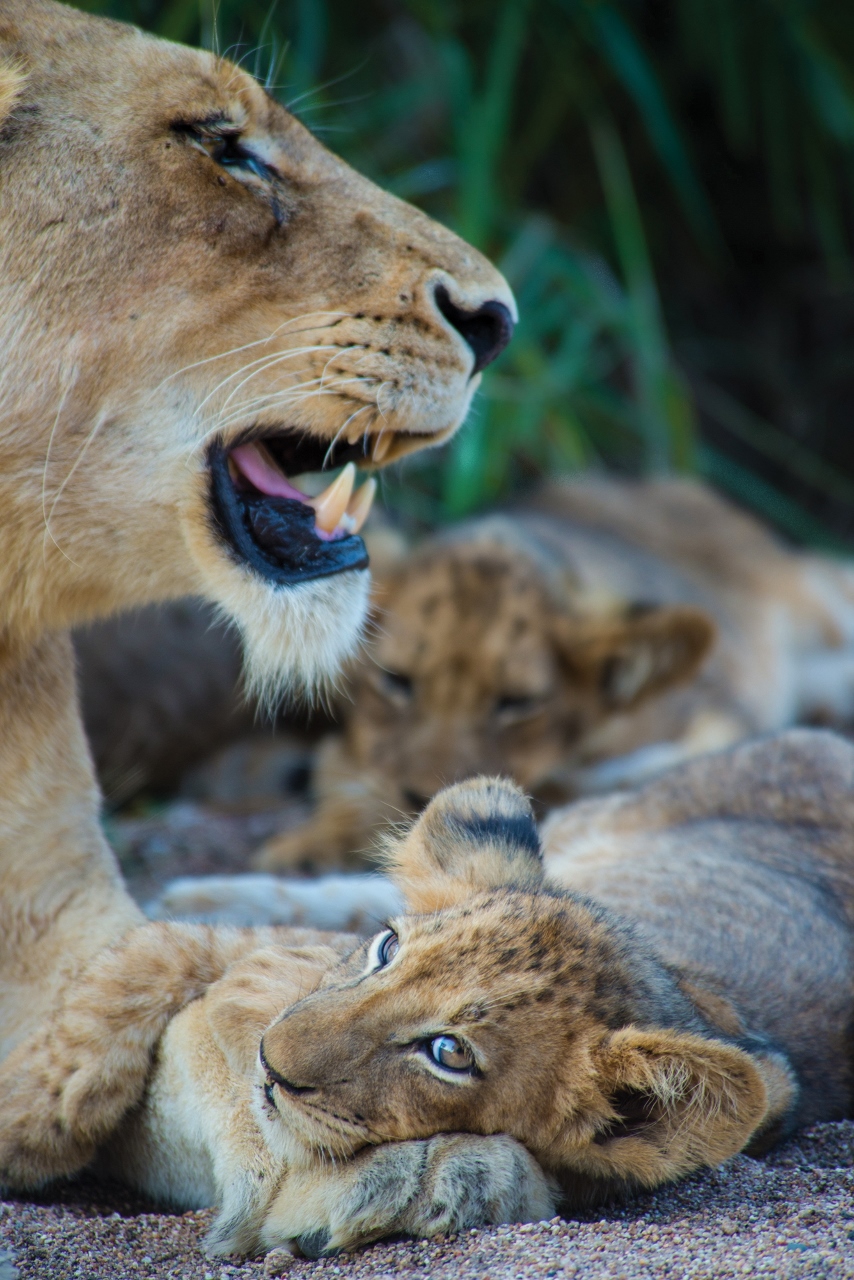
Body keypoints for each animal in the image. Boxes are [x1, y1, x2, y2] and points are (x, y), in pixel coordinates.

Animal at [1, 729, 848, 1257]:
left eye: (448, 1053)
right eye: (387, 950)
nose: (271, 1063)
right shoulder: (235, 952)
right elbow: (120, 982)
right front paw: (25, 1129)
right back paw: (205, 886)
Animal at [257, 476, 854, 870]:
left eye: (517, 703)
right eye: (397, 681)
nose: (421, 797)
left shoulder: (718, 715)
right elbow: (341, 776)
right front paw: (307, 848)